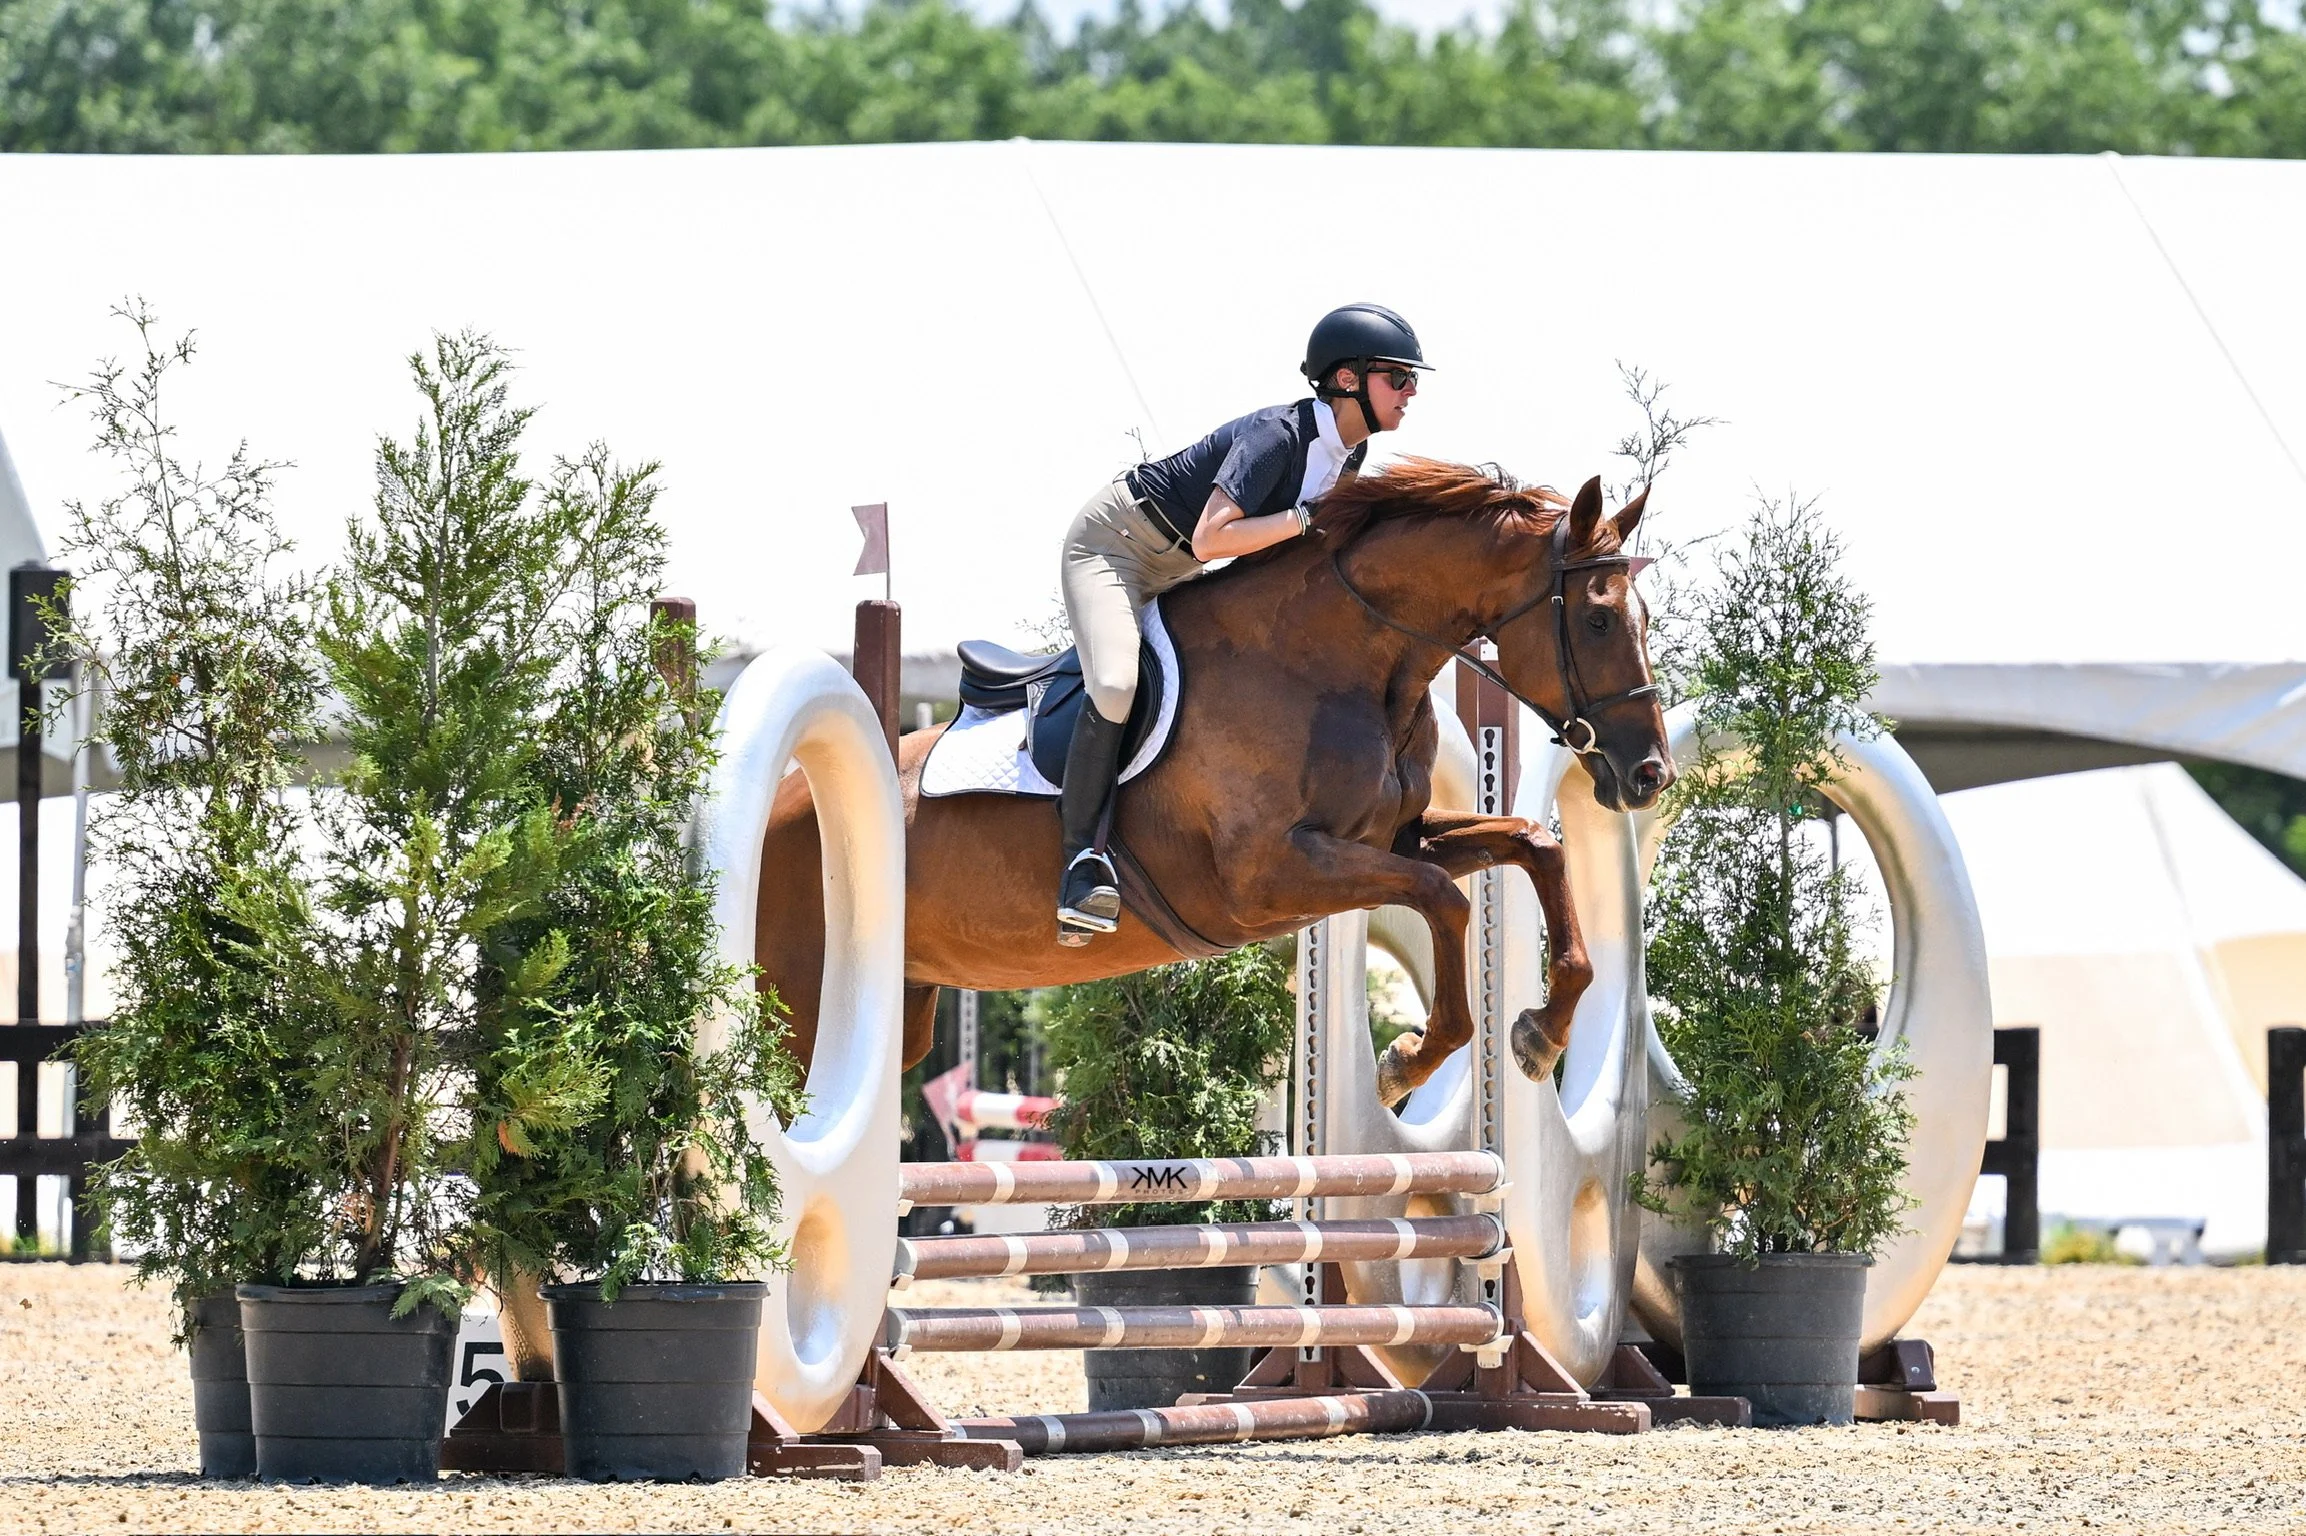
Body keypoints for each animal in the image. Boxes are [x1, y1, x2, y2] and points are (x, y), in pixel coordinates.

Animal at [756, 460, 1673, 1106]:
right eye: (1597, 620)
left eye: (1644, 617)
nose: (1649, 774)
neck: (1337, 662)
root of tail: (783, 801)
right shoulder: (1267, 876)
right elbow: (1442, 899)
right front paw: (1407, 1061)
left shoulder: (1390, 841)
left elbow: (1533, 843)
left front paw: (1541, 1034)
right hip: (798, 1010)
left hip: (899, 1009)